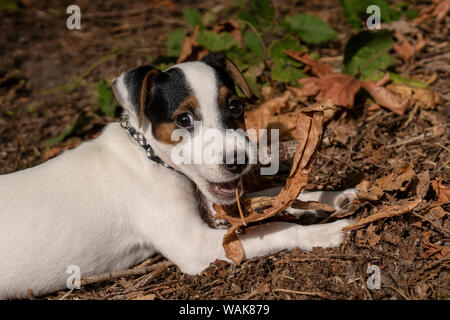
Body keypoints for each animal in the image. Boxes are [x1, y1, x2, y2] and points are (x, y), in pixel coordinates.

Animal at [0, 53, 356, 298]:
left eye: (235, 107)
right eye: (183, 119)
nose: (239, 160)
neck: (150, 157)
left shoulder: (217, 207)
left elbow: (277, 195)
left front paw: (335, 196)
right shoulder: (194, 246)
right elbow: (277, 227)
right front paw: (325, 232)